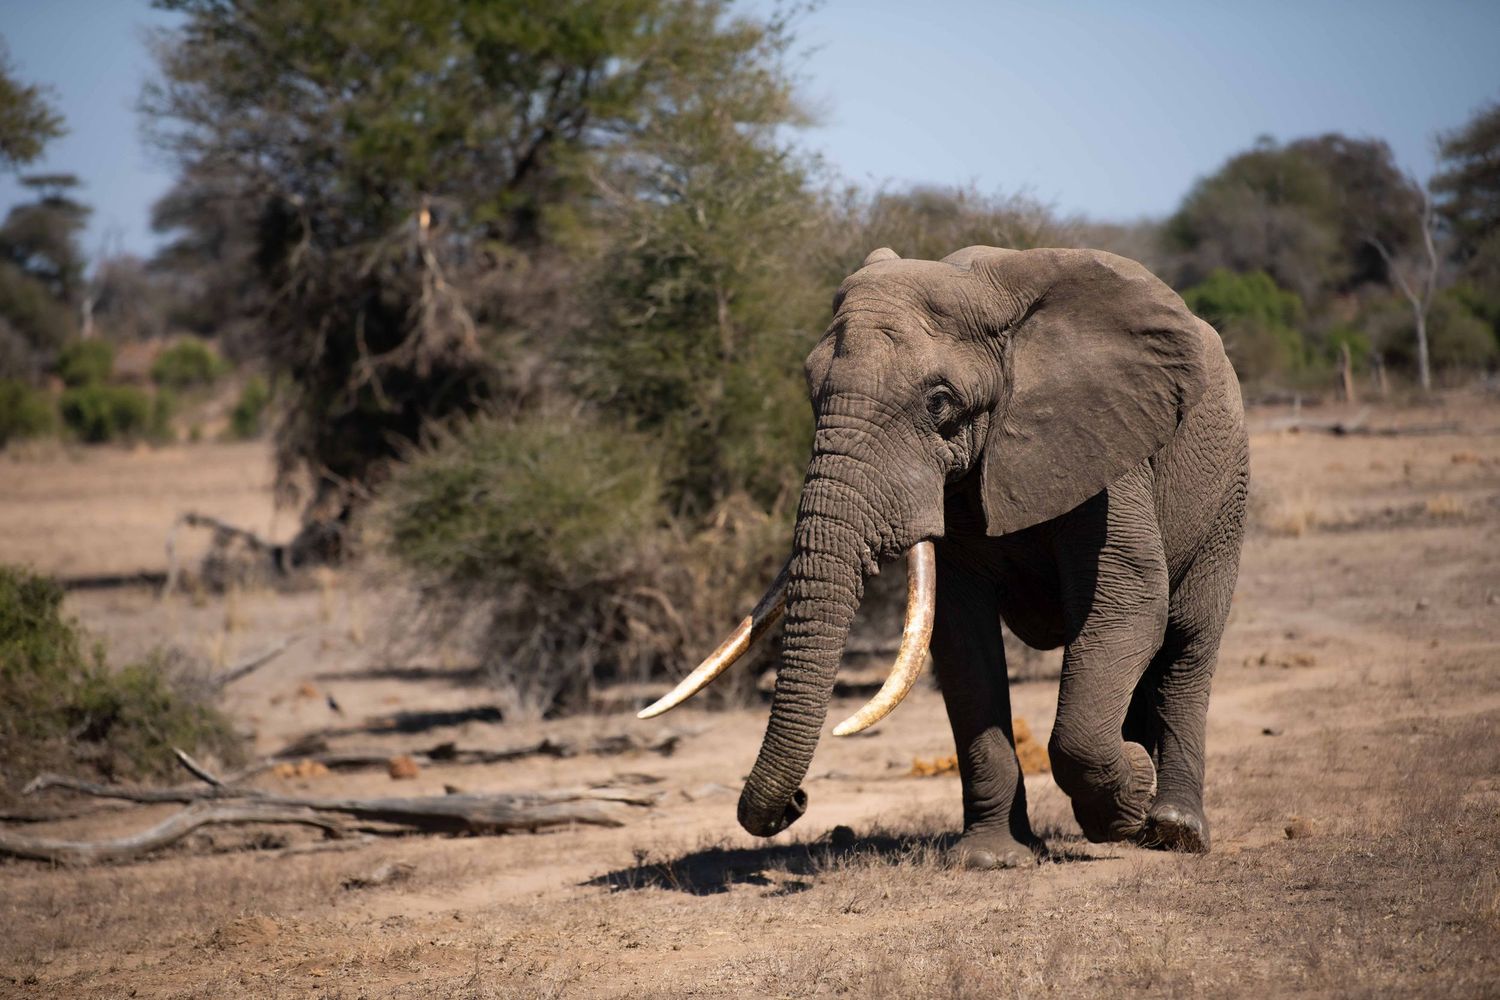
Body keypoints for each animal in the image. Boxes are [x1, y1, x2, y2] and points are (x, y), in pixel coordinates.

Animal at [639, 245, 1249, 868]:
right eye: (811, 392)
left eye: (940, 404)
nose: (797, 803)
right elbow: (961, 639)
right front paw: (991, 859)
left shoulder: (1106, 445)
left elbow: (1129, 604)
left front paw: (1130, 794)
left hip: (1226, 494)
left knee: (1188, 639)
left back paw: (1174, 829)